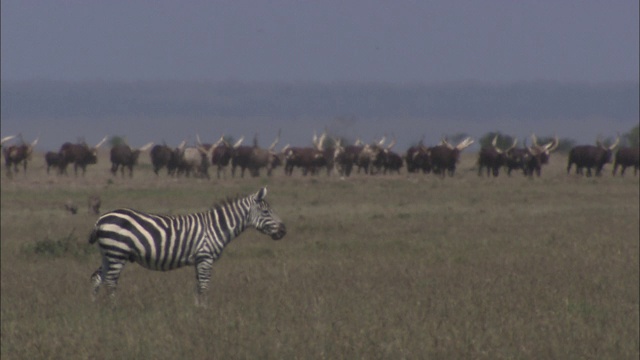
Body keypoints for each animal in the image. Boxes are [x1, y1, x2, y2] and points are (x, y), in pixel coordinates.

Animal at [87, 187, 284, 308]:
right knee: (111, 281)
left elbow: (198, 286)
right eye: (266, 212)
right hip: (117, 252)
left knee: (98, 277)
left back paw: (95, 307)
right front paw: (205, 311)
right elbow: (204, 286)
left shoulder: (199, 260)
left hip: (108, 254)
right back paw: (114, 308)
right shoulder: (205, 257)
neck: (217, 226)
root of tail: (100, 219)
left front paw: (197, 308)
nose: (284, 231)